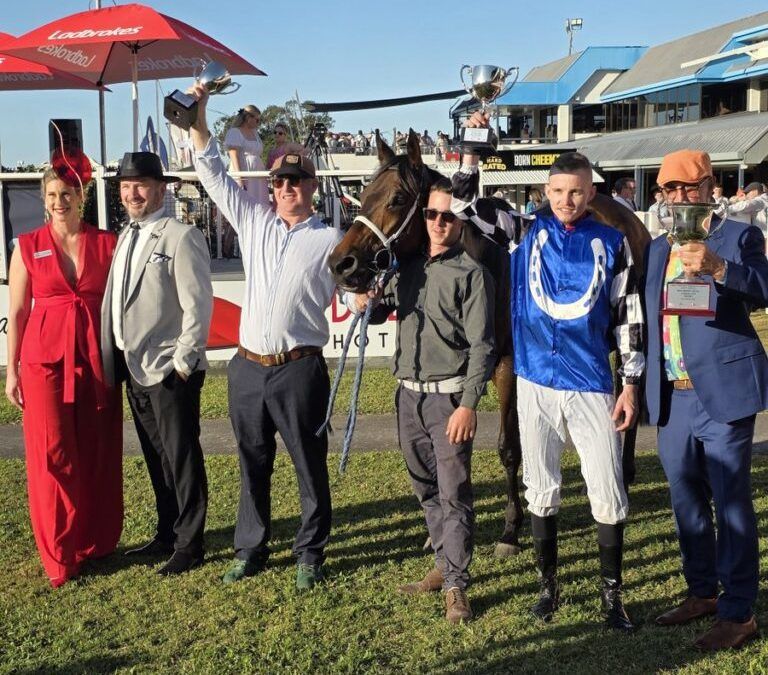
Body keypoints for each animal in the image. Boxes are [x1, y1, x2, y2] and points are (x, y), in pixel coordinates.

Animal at [328, 129, 651, 555]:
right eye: (362, 195)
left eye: (396, 199)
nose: (341, 264)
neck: (487, 259)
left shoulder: (506, 365)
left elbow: (508, 447)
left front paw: (511, 530)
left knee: (631, 390)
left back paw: (625, 471)